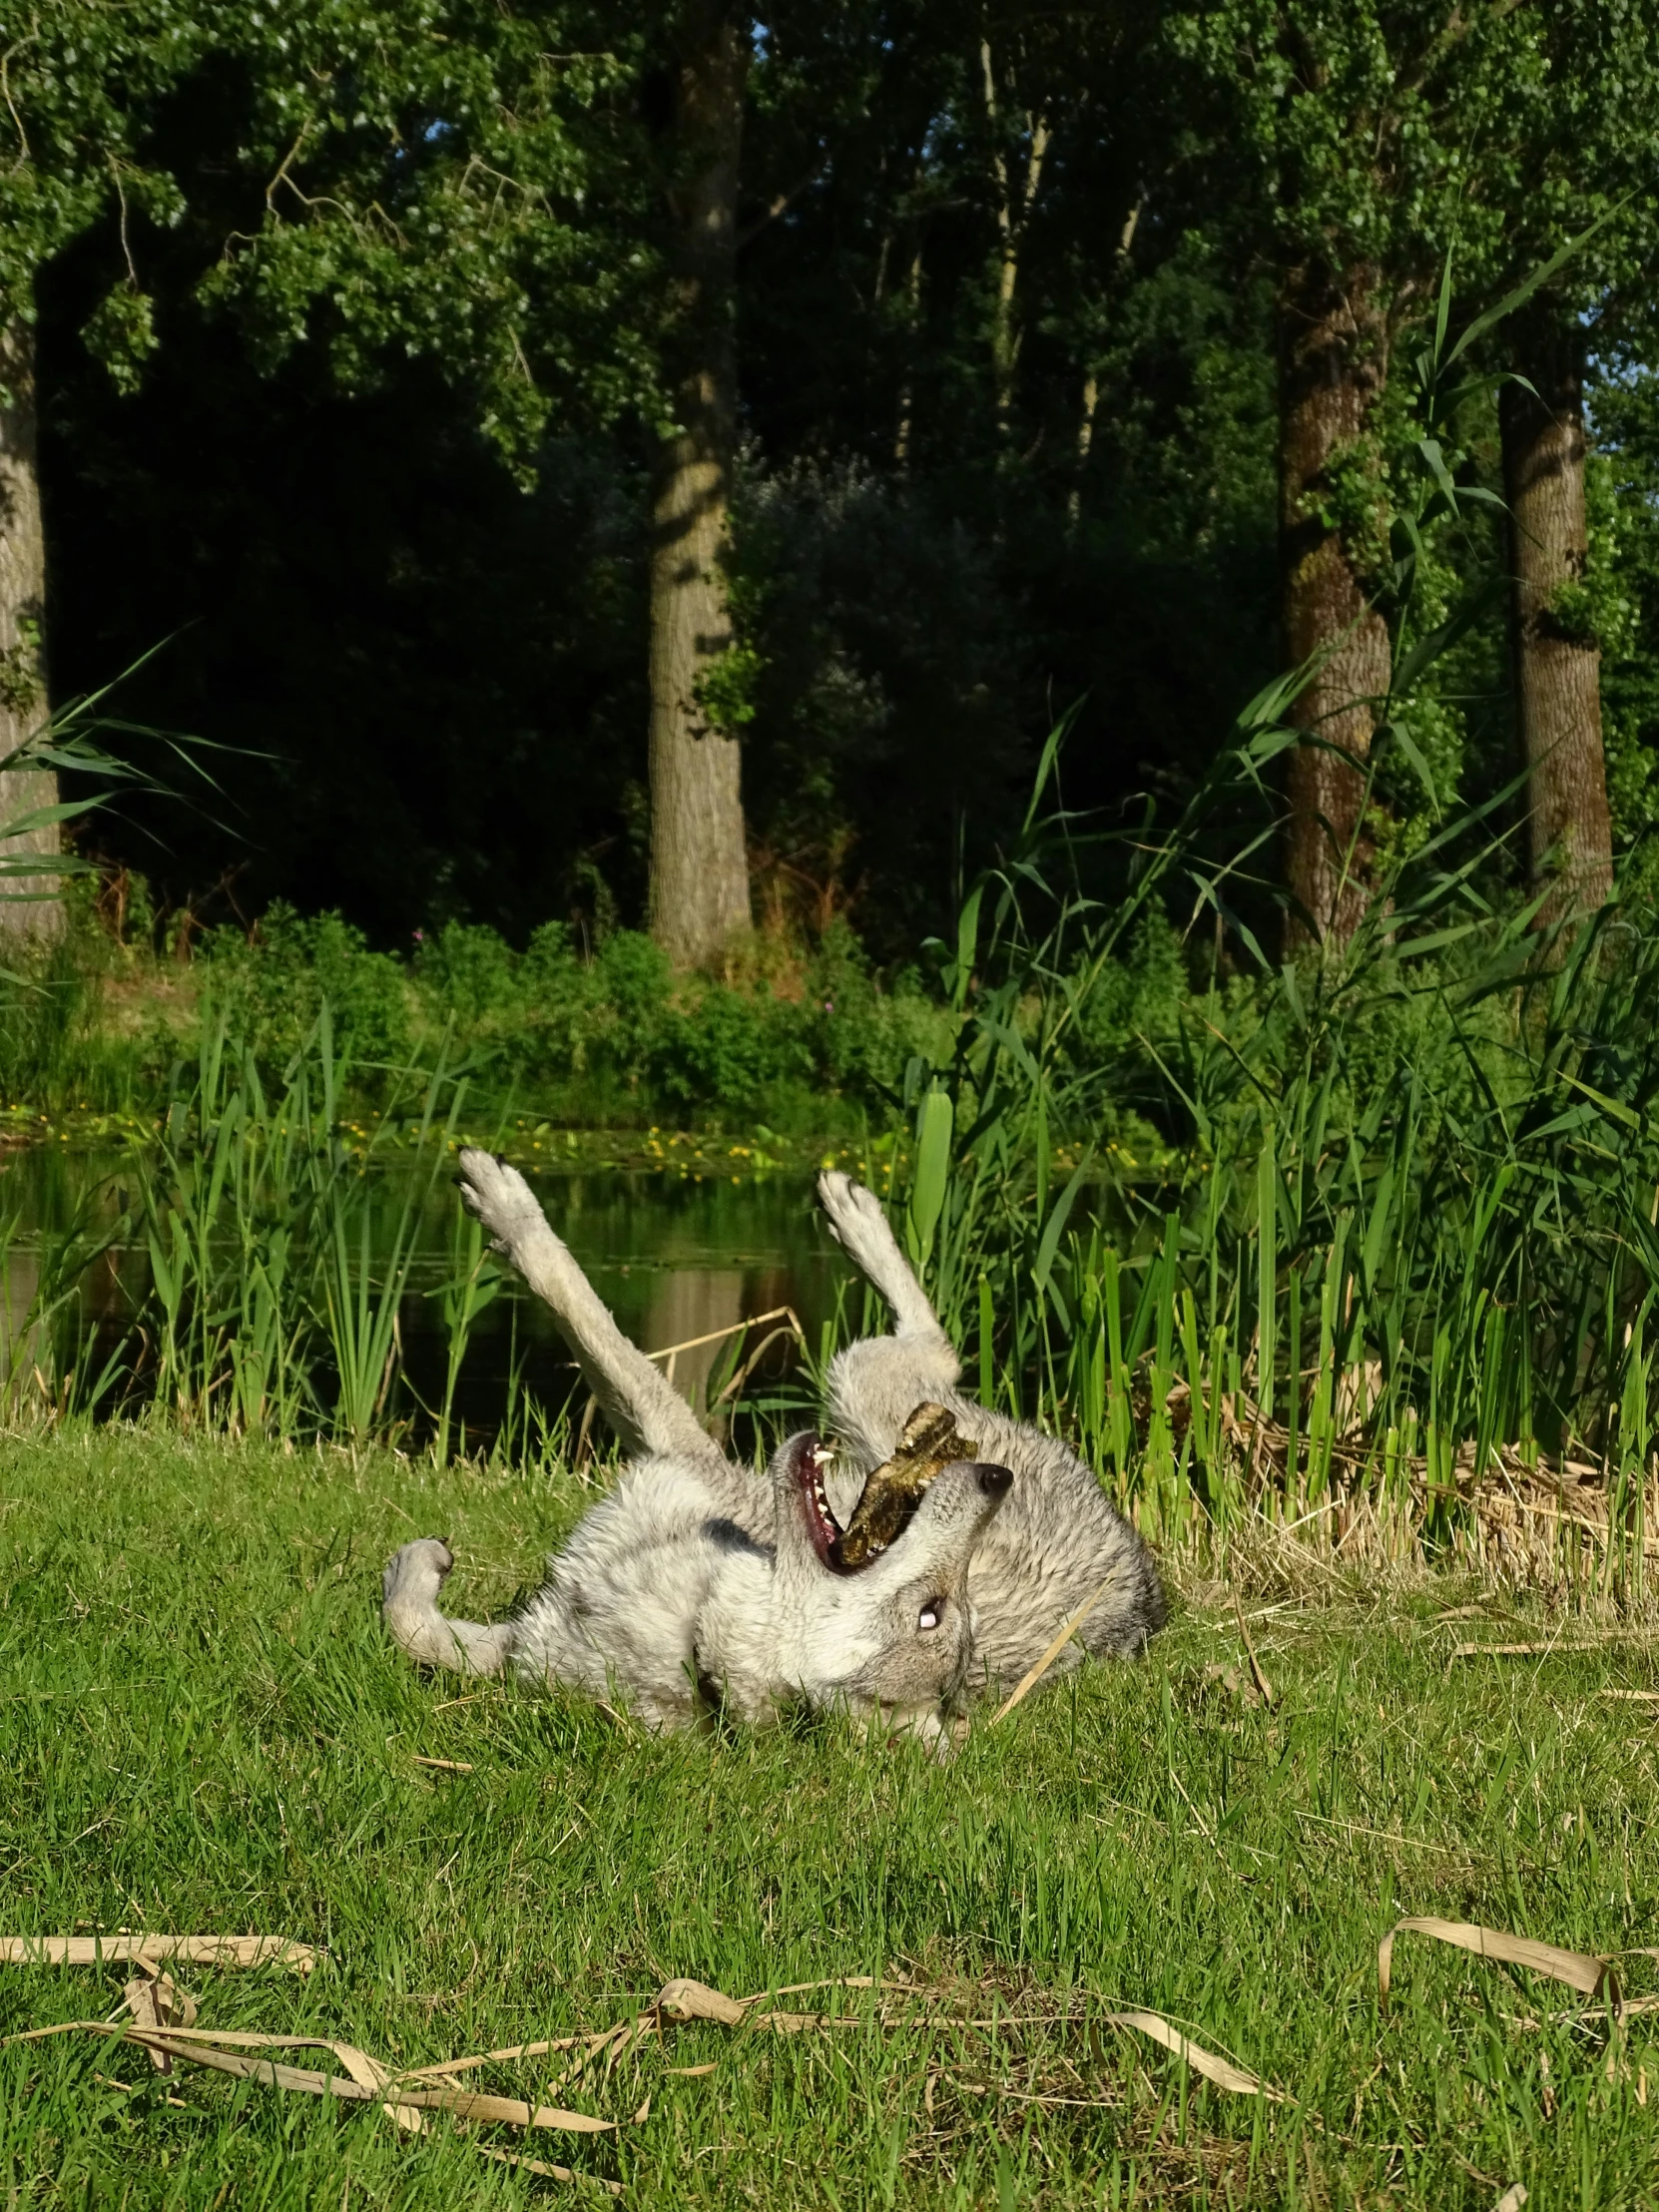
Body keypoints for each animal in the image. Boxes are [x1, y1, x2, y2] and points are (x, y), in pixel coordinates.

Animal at [384, 1159, 1168, 1743]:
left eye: (934, 1613)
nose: (995, 1480)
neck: (694, 1631)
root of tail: (1146, 1586)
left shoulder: (676, 1445)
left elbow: (577, 1303)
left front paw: (502, 1204)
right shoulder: (530, 1645)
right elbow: (410, 1629)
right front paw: (417, 1566)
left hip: (860, 1377)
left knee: (936, 1342)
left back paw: (852, 1212)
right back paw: (852, 1206)